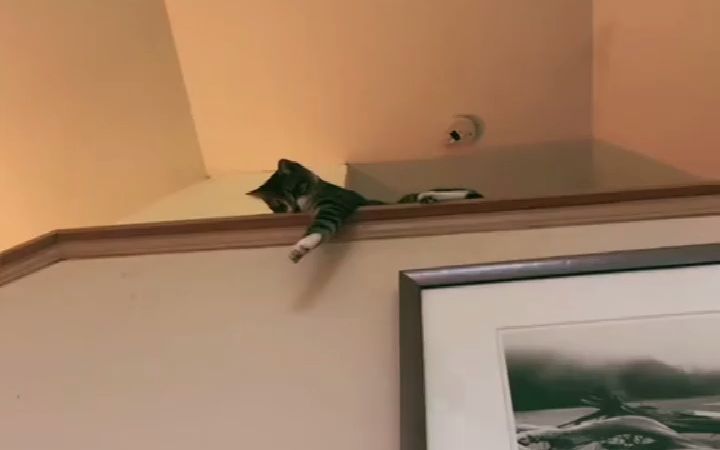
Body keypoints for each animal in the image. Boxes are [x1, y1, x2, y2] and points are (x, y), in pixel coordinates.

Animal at [248, 159, 482, 263]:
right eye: (278, 204)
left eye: (295, 189)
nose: (294, 208)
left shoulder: (335, 202)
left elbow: (321, 225)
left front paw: (302, 246)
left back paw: (430, 196)